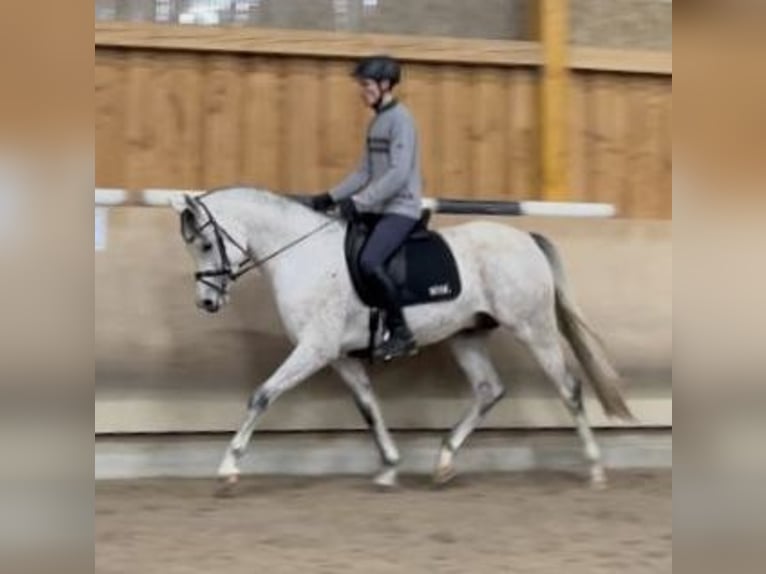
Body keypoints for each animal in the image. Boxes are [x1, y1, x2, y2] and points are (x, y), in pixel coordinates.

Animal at [174, 187, 636, 492]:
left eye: (206, 243)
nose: (206, 302)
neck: (304, 256)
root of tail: (526, 239)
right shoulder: (339, 356)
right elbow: (368, 407)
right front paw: (389, 467)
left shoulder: (315, 349)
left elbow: (262, 396)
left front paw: (228, 468)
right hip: (466, 336)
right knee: (489, 389)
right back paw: (444, 461)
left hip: (532, 327)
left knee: (569, 388)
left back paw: (595, 469)